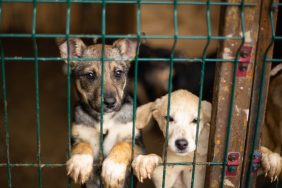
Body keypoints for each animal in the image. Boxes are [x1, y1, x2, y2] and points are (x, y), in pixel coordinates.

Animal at [57, 37, 145, 187]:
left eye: (118, 73)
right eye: (90, 75)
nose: (110, 102)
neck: (105, 118)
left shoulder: (138, 144)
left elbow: (123, 144)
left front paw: (113, 169)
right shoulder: (75, 139)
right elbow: (82, 145)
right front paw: (80, 162)